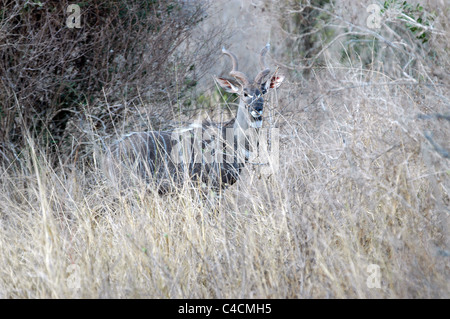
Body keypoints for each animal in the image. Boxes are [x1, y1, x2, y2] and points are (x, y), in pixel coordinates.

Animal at [103, 43, 284, 194]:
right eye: (244, 93)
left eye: (263, 92)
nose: (257, 109)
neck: (229, 138)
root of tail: (110, 152)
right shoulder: (210, 187)